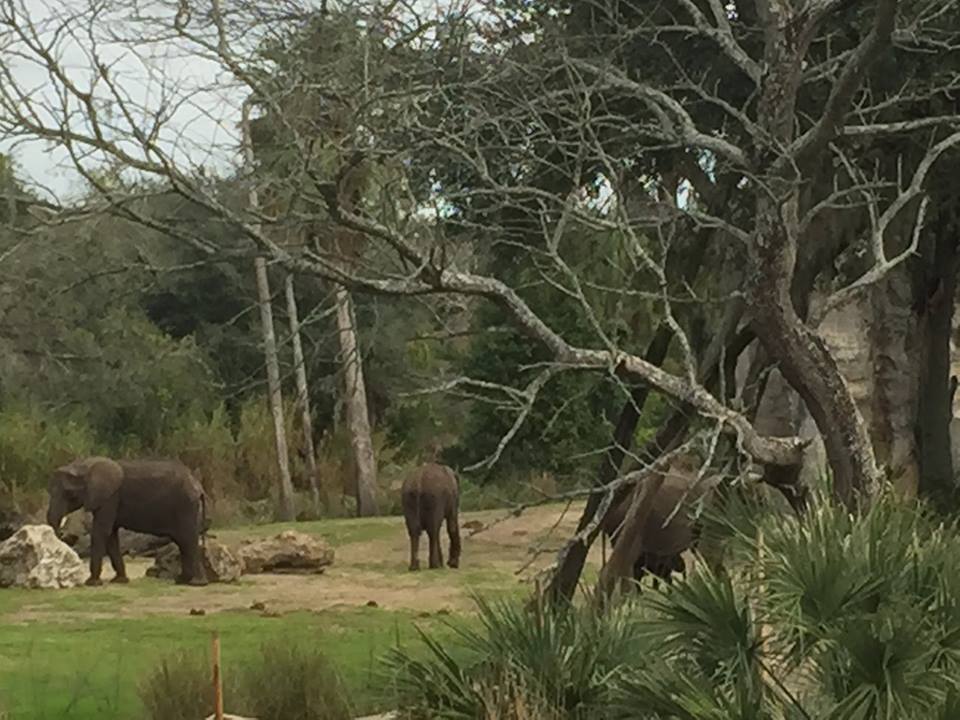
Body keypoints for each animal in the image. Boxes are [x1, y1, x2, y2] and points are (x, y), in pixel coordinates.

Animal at [46, 456, 208, 587]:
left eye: (70, 494)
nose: (64, 536)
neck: (85, 465)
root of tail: (198, 485)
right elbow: (111, 536)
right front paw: (119, 581)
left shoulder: (110, 498)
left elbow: (101, 532)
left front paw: (91, 583)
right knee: (183, 542)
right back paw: (182, 581)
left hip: (185, 506)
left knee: (187, 539)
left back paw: (196, 583)